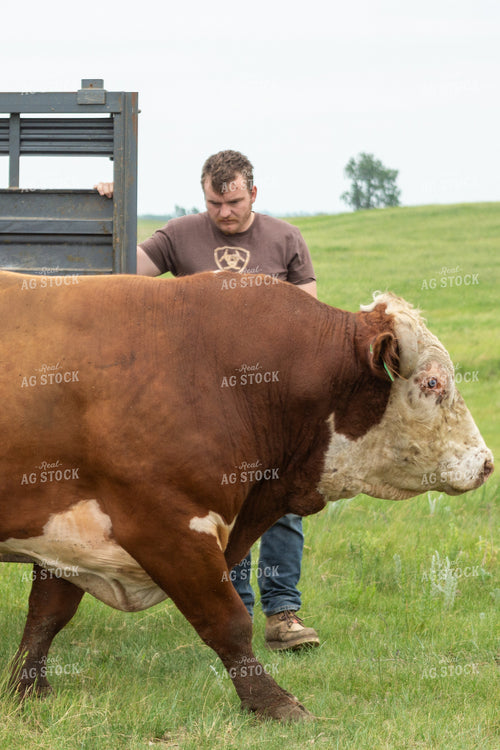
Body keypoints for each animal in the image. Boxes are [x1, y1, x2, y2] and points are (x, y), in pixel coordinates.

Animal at [0, 269, 493, 722]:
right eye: (432, 383)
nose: (486, 462)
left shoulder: (69, 531)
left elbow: (46, 616)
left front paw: (26, 690)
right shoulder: (166, 525)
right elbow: (228, 622)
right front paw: (274, 702)